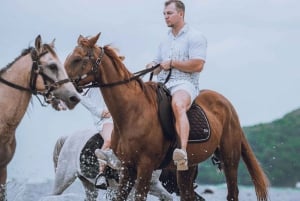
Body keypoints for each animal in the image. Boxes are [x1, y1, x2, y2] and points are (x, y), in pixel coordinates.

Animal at [63, 33, 270, 201]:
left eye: (78, 59)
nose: (62, 87)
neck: (132, 112)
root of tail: (226, 104)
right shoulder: (127, 168)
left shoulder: (145, 167)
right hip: (187, 168)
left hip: (230, 159)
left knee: (232, 193)